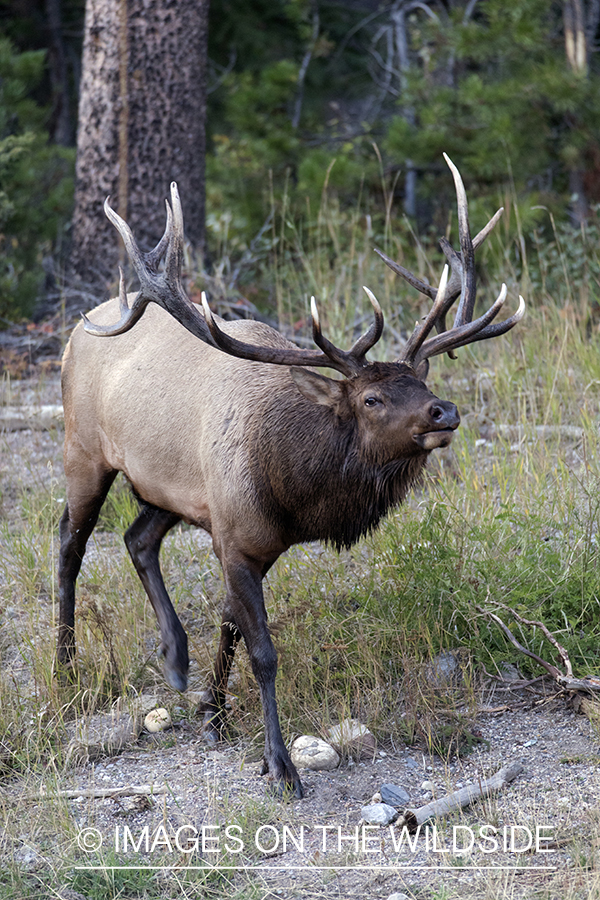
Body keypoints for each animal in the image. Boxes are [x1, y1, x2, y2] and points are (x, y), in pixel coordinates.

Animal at [58, 154, 524, 798]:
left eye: (423, 382)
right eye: (372, 398)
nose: (444, 411)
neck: (295, 493)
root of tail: (76, 333)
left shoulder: (244, 535)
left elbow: (229, 623)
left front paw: (214, 712)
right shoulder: (235, 538)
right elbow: (263, 651)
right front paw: (278, 763)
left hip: (169, 489)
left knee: (137, 537)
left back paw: (174, 658)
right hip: (84, 450)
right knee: (70, 544)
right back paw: (66, 670)